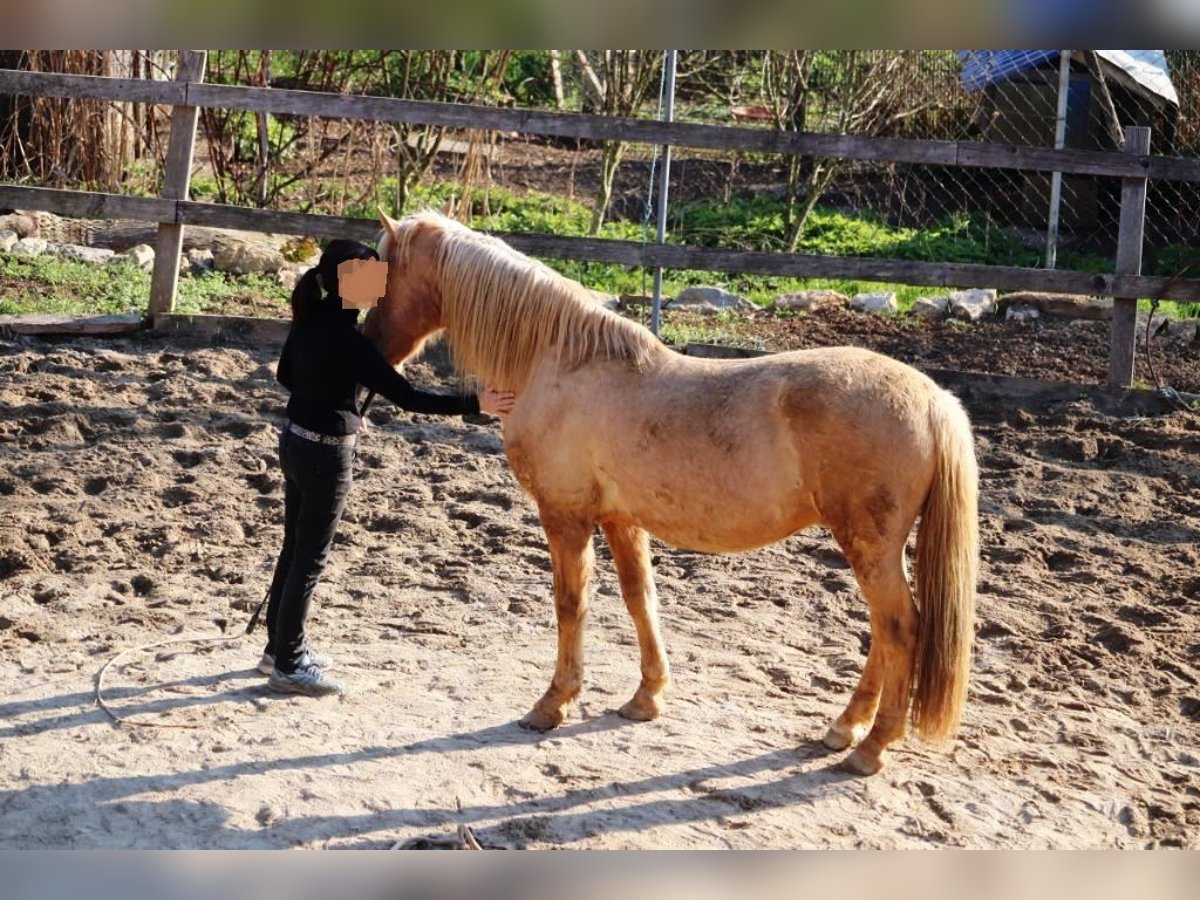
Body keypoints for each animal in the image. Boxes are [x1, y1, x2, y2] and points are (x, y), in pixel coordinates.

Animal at [364, 211, 974, 777]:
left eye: (385, 271)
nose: (371, 350)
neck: (559, 360)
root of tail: (934, 399)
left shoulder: (565, 515)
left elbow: (571, 604)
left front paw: (553, 704)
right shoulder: (621, 520)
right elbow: (641, 598)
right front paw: (646, 697)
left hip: (869, 545)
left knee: (900, 628)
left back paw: (871, 747)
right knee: (884, 632)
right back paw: (844, 729)